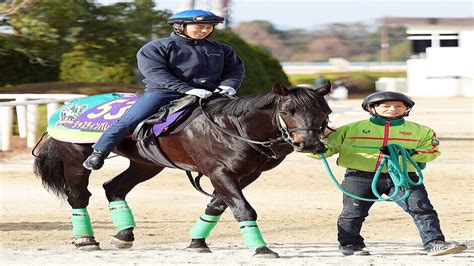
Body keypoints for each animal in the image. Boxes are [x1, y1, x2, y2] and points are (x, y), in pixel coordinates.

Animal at [33, 81, 332, 258]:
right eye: (289, 110)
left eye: (324, 112)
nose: (309, 143)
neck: (231, 126)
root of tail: (67, 108)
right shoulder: (218, 170)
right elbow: (242, 208)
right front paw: (260, 248)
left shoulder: (245, 174)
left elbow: (218, 205)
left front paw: (197, 242)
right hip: (76, 158)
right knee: (78, 196)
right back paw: (85, 239)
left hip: (145, 164)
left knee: (114, 188)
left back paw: (123, 235)